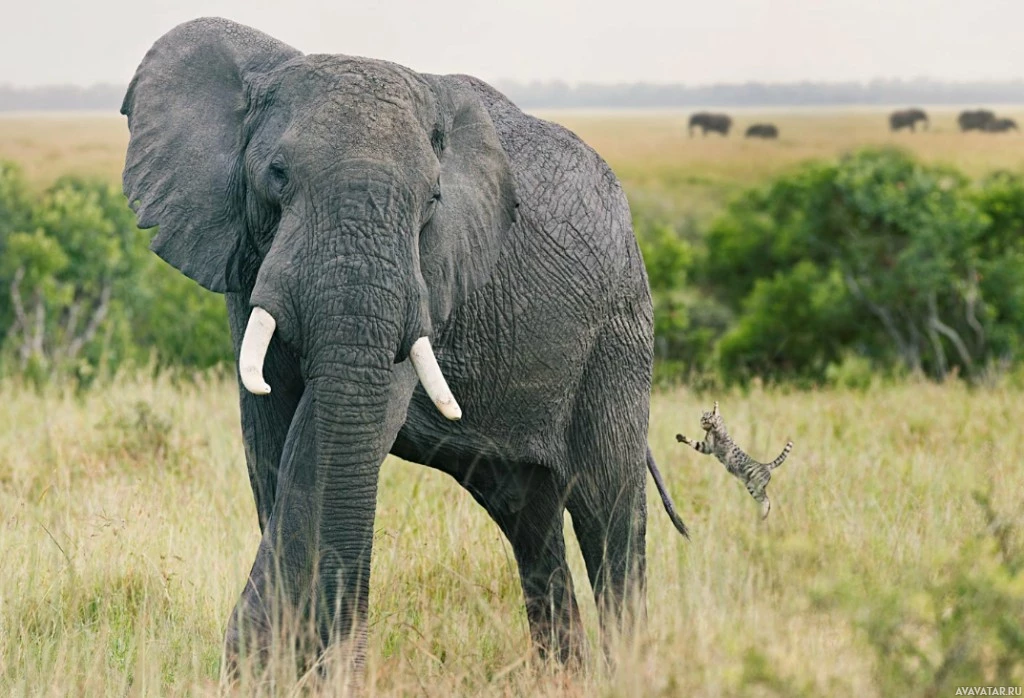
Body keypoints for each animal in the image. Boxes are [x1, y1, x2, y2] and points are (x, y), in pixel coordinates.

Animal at [123, 16, 692, 675]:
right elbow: (272, 443)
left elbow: (326, 438)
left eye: (433, 200)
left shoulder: (427, 281)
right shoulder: (248, 265)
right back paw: (563, 677)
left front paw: (281, 663)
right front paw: (284, 665)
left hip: (618, 332)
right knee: (529, 518)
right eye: (277, 174)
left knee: (608, 511)